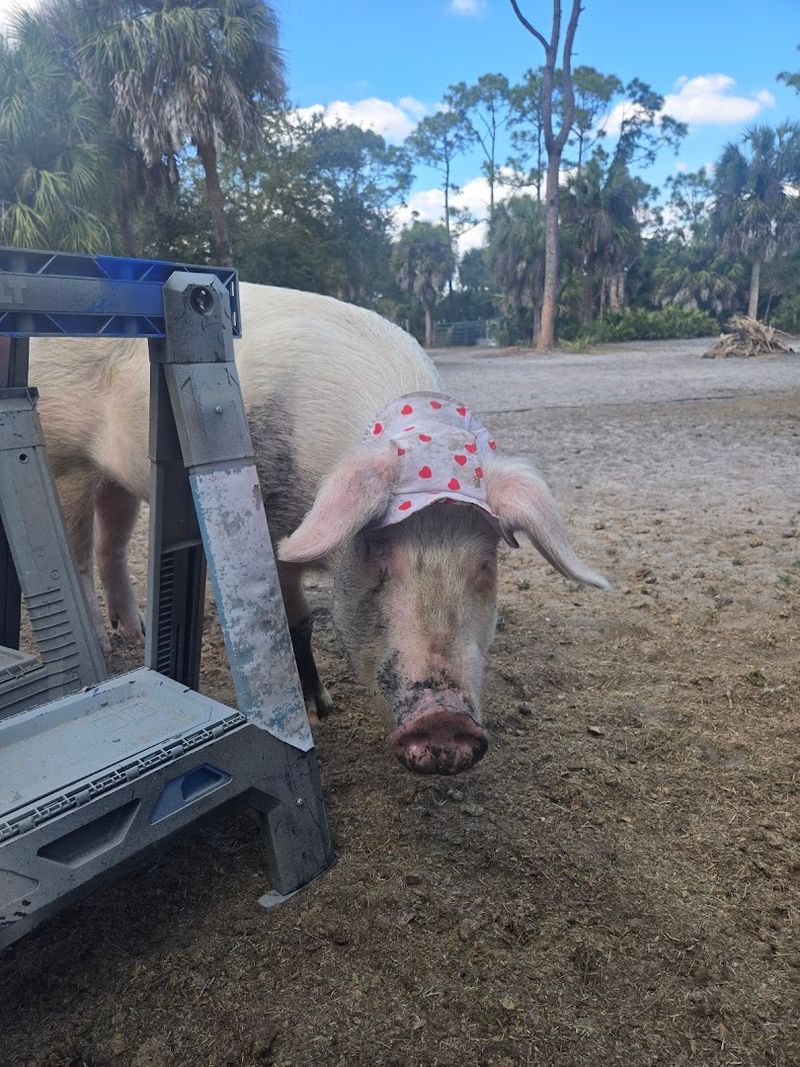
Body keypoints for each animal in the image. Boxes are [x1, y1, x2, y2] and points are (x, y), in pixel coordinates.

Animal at [30, 282, 608, 775]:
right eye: (377, 553)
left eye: (486, 564)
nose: (444, 722)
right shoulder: (270, 530)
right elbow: (298, 622)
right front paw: (317, 710)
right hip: (63, 459)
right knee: (76, 554)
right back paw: (105, 653)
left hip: (119, 477)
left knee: (112, 542)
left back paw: (136, 631)